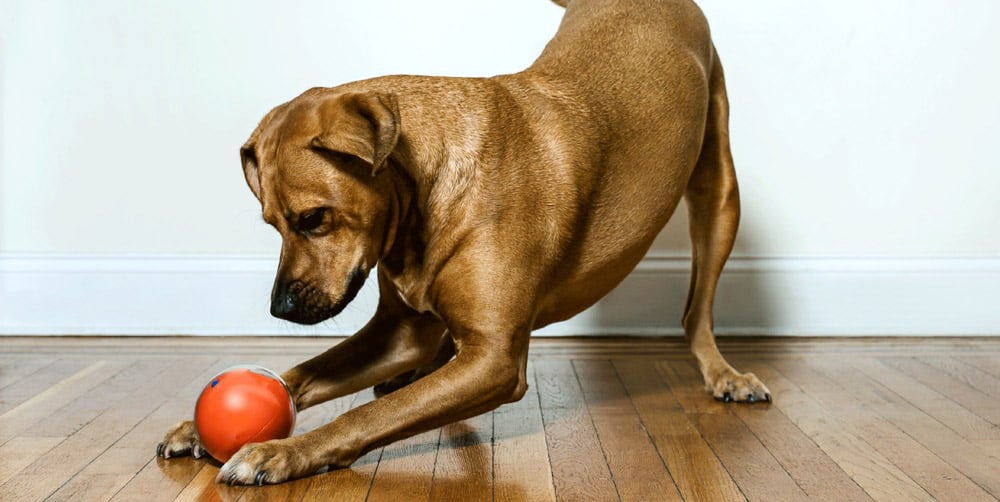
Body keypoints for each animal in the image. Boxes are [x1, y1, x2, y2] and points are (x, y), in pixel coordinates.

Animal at [156, 0, 768, 484]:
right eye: (271, 224)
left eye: (313, 219)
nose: (279, 310)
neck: (422, 198)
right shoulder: (399, 334)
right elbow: (301, 376)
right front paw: (200, 425)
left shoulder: (495, 361)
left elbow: (361, 417)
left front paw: (283, 452)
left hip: (719, 193)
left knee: (695, 310)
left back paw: (724, 374)